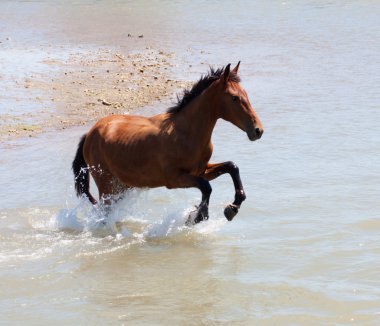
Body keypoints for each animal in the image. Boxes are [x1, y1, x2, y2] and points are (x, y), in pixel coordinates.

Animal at [72, 62, 262, 223]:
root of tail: (89, 134)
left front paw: (233, 207)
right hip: (106, 184)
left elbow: (232, 167)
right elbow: (206, 187)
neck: (185, 133)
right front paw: (198, 216)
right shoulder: (175, 179)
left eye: (245, 94)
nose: (258, 130)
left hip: (121, 185)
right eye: (234, 98)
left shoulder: (201, 171)